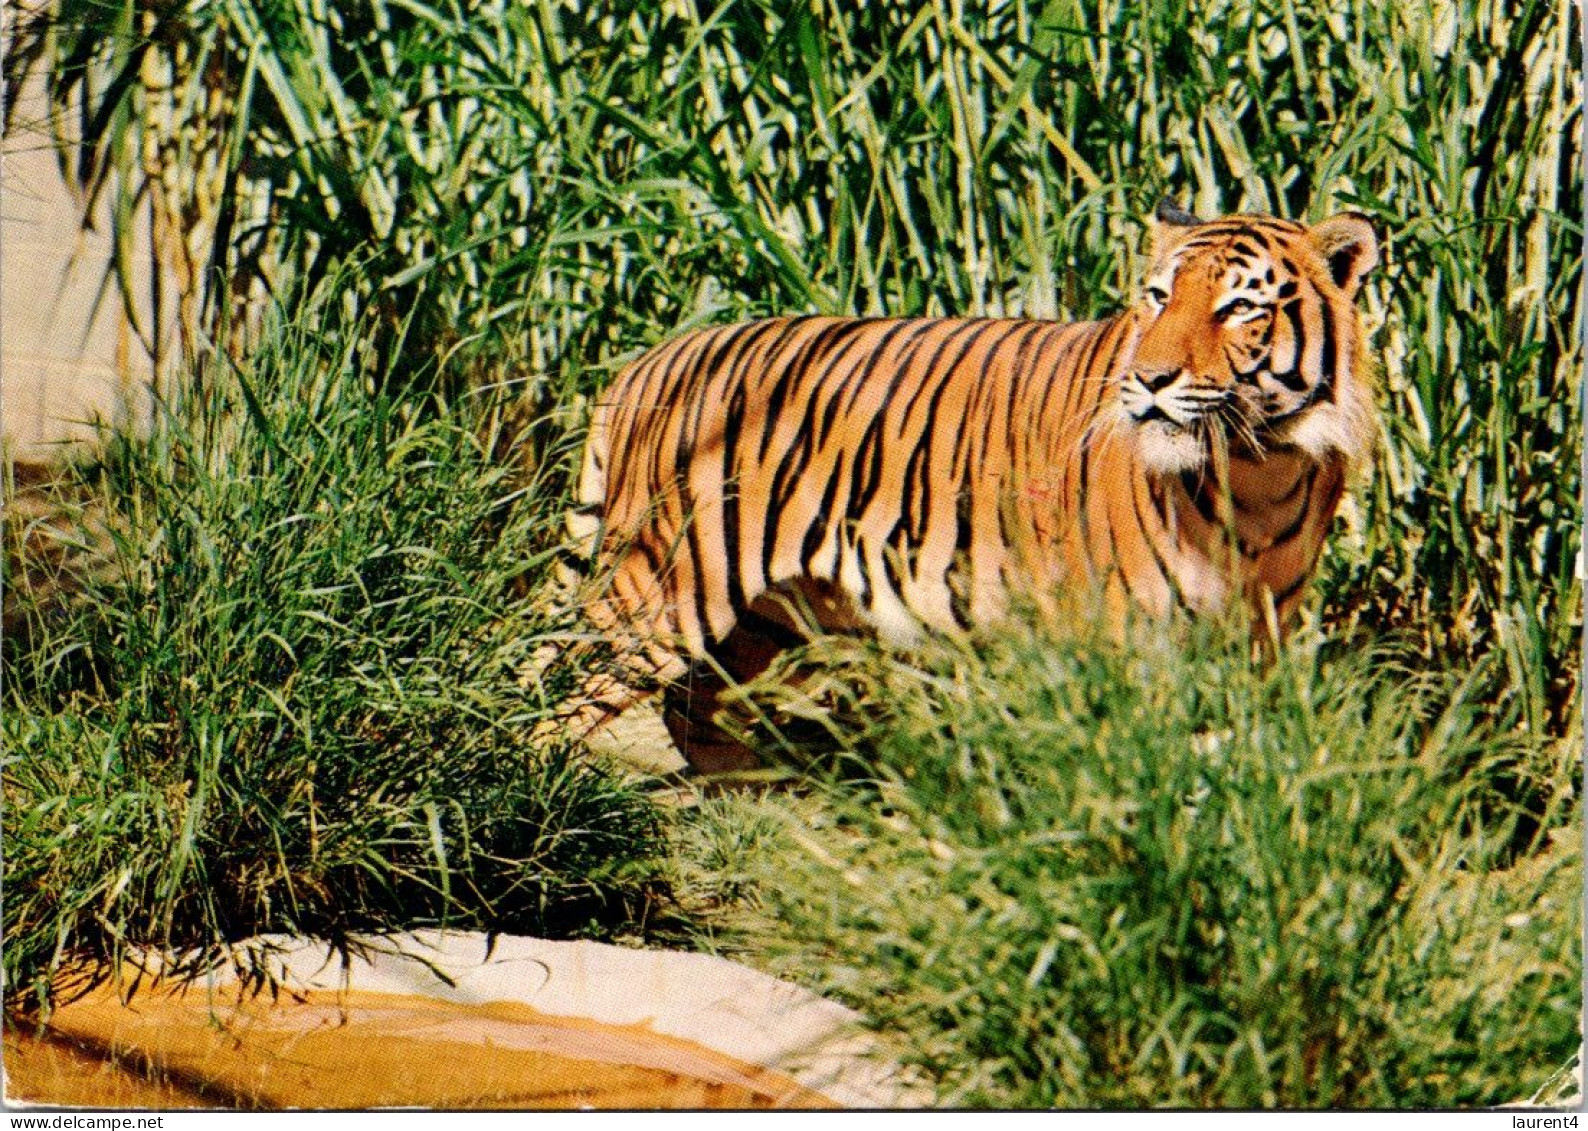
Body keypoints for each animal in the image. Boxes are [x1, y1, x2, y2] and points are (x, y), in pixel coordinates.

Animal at [568, 203, 1378, 768]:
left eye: (1239, 307)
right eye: (1157, 298)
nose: (1149, 379)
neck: (1260, 469)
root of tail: (647, 362)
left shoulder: (1253, 643)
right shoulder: (1125, 637)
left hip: (768, 618)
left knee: (696, 707)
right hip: (662, 587)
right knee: (562, 686)